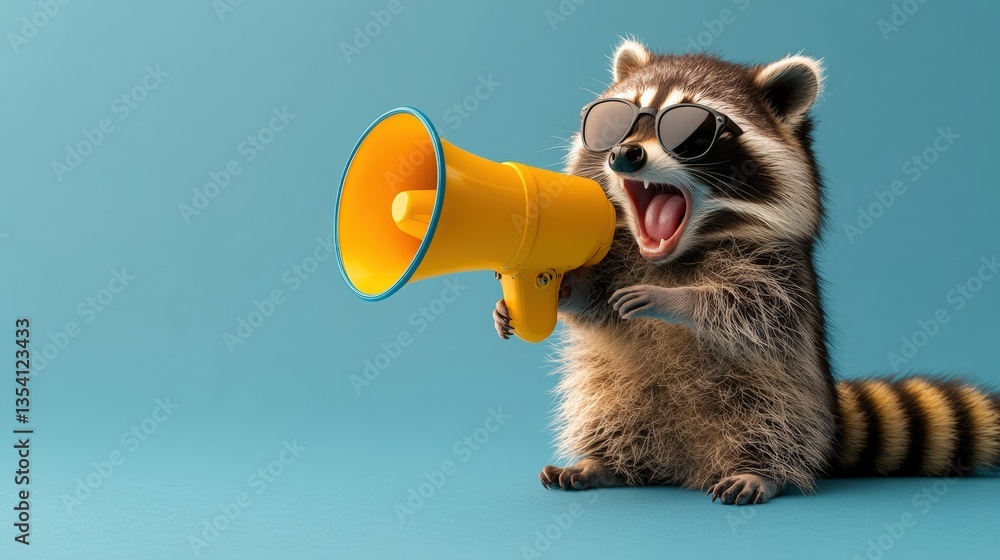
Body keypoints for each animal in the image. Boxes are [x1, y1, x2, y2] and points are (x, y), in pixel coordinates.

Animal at [493, 41, 1000, 505]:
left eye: (694, 133)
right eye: (617, 121)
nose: (624, 154)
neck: (671, 257)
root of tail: (683, 465)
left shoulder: (780, 268)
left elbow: (752, 308)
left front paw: (677, 300)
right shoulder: (618, 257)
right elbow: (596, 305)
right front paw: (559, 293)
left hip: (785, 396)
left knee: (774, 422)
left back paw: (761, 470)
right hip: (615, 395)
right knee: (607, 413)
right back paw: (603, 462)